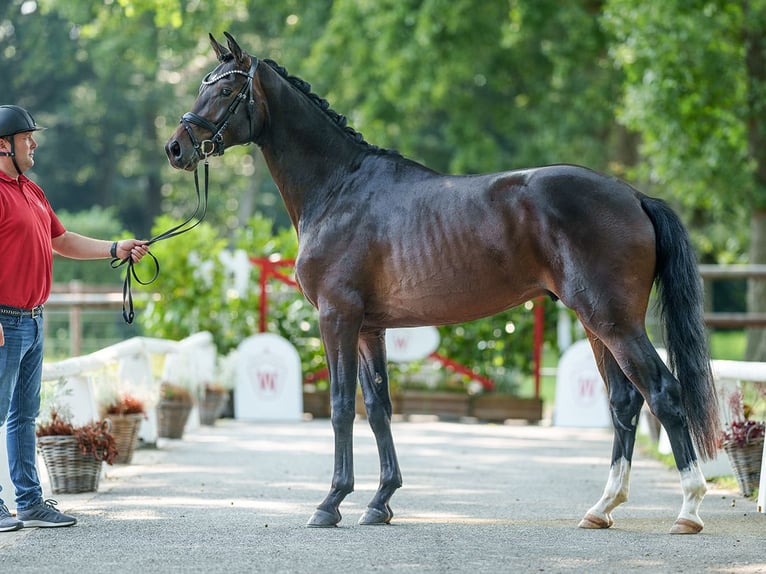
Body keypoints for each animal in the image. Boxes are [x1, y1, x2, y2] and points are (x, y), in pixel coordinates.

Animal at [165, 31, 724, 536]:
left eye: (223, 89)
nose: (176, 148)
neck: (339, 187)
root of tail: (633, 195)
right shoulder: (369, 327)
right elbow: (380, 408)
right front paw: (381, 502)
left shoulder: (336, 316)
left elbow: (343, 407)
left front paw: (331, 503)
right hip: (595, 323)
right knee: (625, 402)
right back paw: (602, 507)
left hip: (613, 321)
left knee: (663, 392)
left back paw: (689, 509)